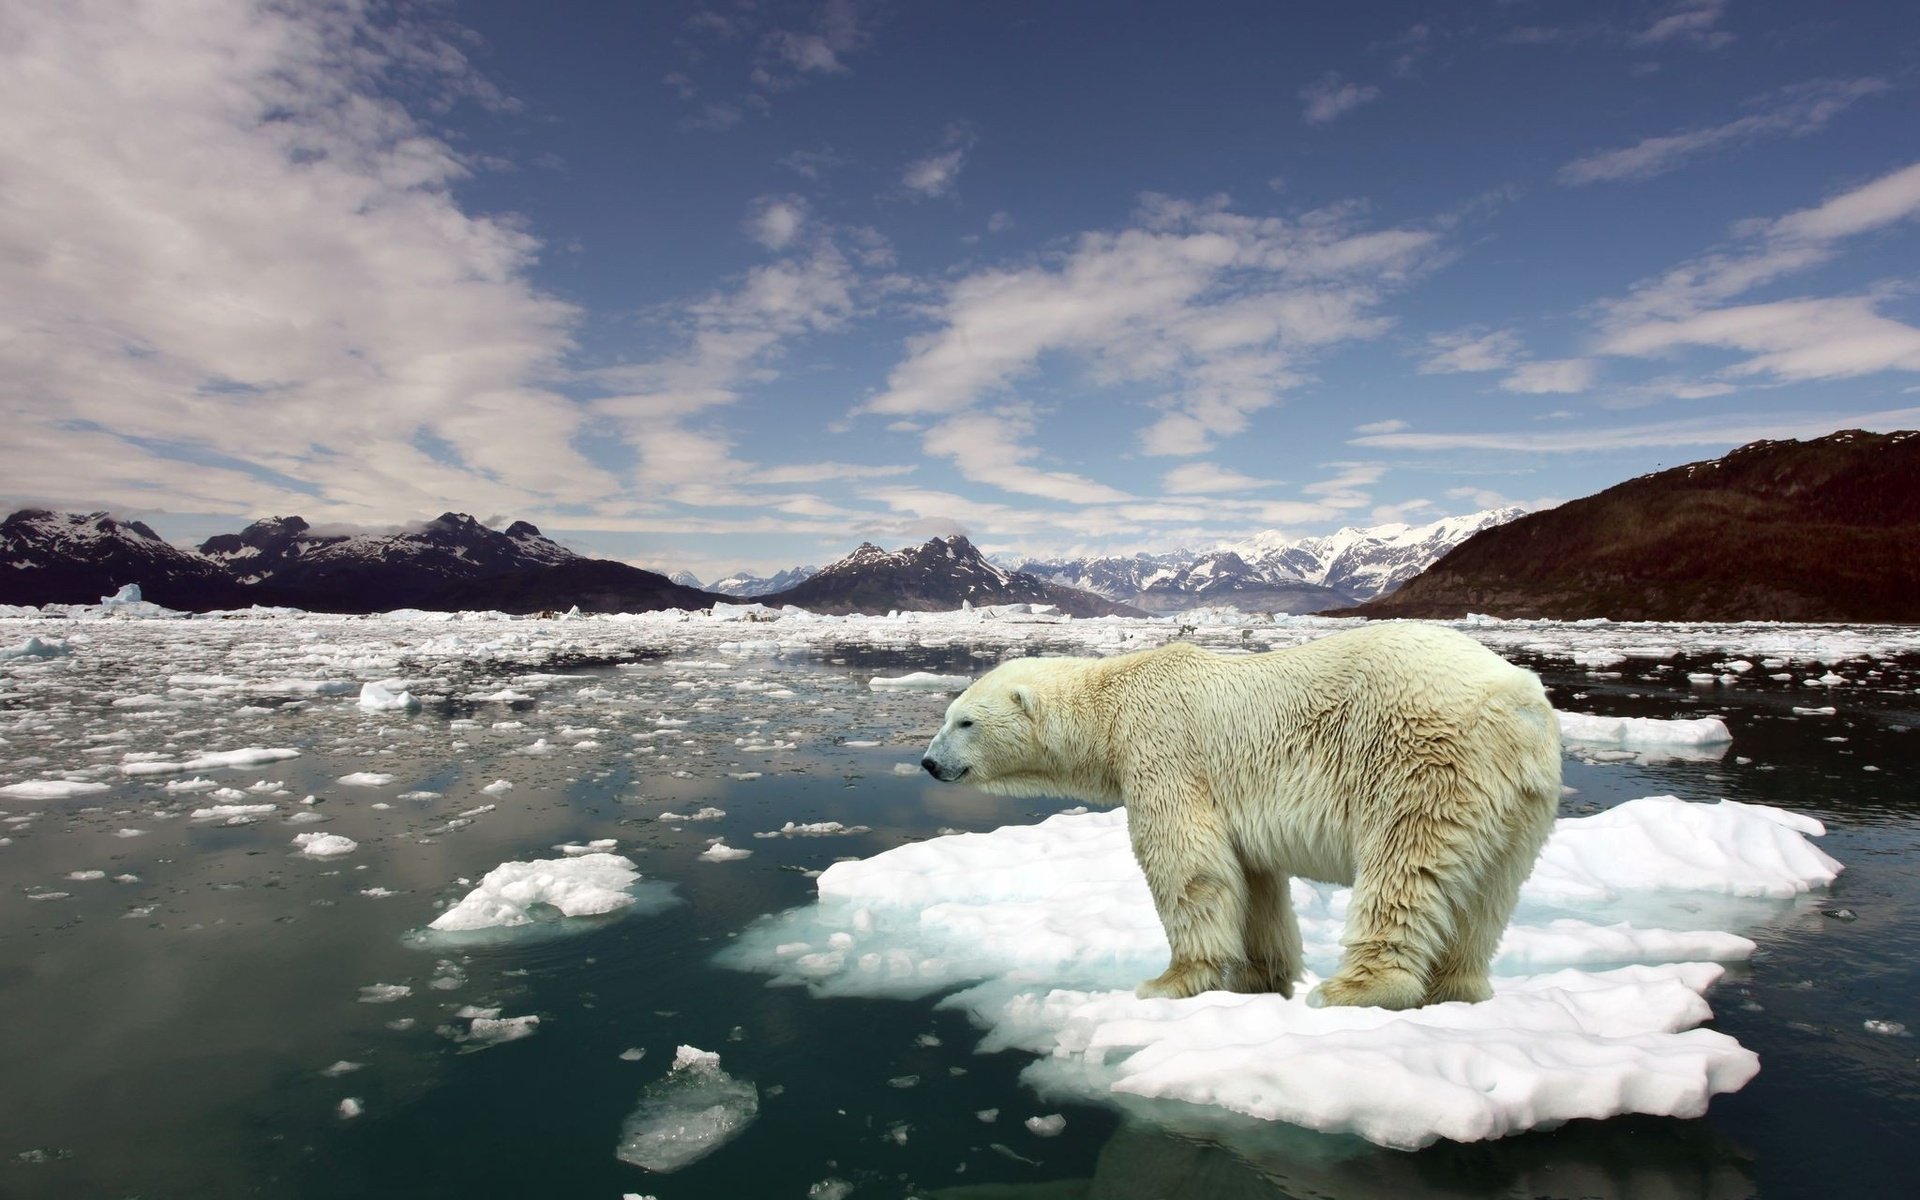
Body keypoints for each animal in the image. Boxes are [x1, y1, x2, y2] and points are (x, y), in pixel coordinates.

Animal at [919, 622, 1561, 1010]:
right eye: (947, 715)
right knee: (1488, 894)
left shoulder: (1163, 751)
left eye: (964, 722)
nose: (928, 763)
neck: (1113, 702)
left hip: (1423, 760)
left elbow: (1188, 865)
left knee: (1405, 867)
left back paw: (1354, 989)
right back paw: (1457, 988)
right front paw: (1261, 978)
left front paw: (1169, 981)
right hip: (1521, 801)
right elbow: (1254, 882)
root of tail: (1518, 701)